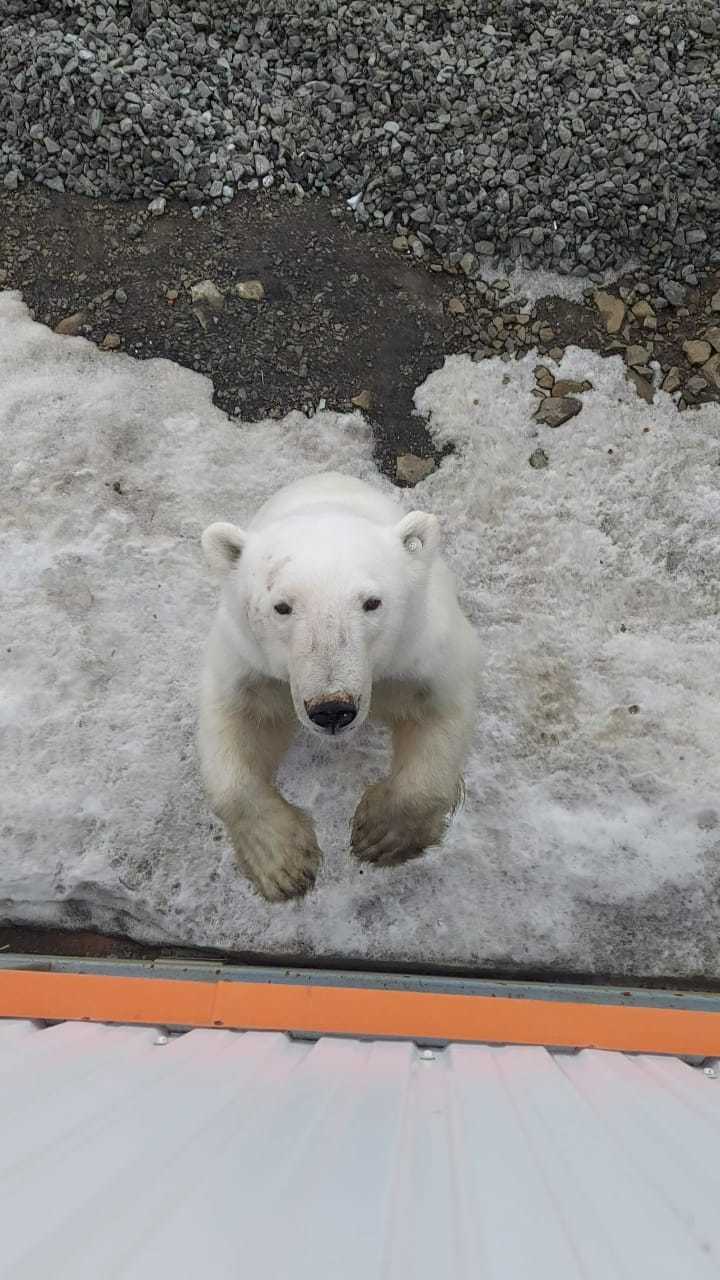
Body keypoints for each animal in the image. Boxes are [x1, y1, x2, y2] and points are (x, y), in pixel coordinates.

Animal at [197, 471, 476, 901]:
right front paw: (281, 863)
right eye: (281, 606)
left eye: (372, 602)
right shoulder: (250, 663)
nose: (332, 710)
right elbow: (236, 724)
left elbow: (439, 716)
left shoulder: (422, 650)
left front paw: (382, 834)